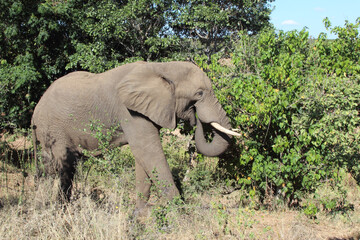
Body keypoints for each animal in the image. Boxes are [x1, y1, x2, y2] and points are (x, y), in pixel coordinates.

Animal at [31, 61, 239, 214]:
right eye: (199, 93)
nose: (197, 120)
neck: (161, 67)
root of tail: (35, 112)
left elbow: (143, 157)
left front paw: (140, 213)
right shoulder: (128, 110)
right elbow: (147, 151)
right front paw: (179, 214)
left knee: (56, 166)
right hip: (53, 130)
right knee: (62, 166)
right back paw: (57, 209)